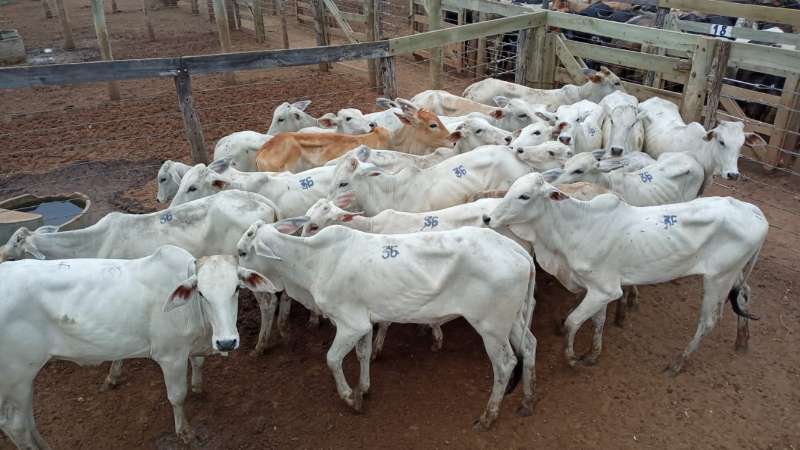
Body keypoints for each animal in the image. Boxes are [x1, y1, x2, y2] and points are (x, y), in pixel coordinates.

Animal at [0, 191, 281, 389]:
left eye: (14, 246)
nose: (2, 256)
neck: (94, 242)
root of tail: (267, 204)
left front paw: (112, 376)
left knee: (268, 303)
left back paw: (261, 345)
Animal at [0, 246, 273, 448]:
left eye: (236, 288)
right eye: (202, 293)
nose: (227, 341)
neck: (201, 323)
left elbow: (198, 364)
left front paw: (198, 388)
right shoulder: (171, 356)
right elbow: (177, 396)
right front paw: (184, 431)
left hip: (23, 379)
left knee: (24, 419)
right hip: (16, 375)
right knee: (15, 425)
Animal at [236, 219, 537, 430]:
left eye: (241, 253)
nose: (239, 278)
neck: (313, 262)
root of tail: (517, 251)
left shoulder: (350, 323)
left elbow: (332, 359)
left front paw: (350, 397)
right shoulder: (364, 323)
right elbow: (363, 353)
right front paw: (364, 388)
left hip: (491, 327)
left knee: (505, 364)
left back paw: (489, 416)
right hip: (511, 321)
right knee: (530, 346)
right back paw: (527, 399)